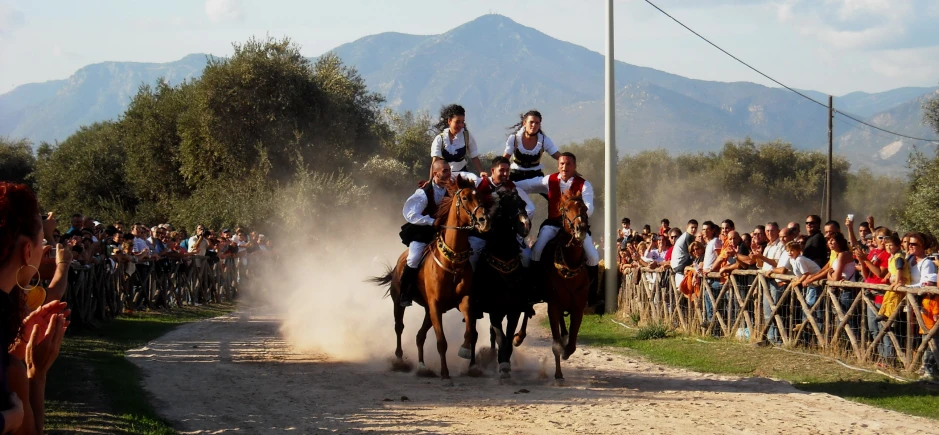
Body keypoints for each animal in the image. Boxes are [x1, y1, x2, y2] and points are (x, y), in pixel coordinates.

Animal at [370, 175, 492, 384]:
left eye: (481, 197)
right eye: (465, 198)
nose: (484, 221)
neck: (452, 262)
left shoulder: (463, 301)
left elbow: (470, 330)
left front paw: (465, 351)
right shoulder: (435, 305)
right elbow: (441, 341)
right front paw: (445, 373)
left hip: (428, 311)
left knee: (419, 336)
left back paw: (422, 366)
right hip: (400, 303)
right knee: (399, 327)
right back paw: (400, 360)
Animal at [474, 191, 532, 382]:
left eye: (522, 203)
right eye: (506, 205)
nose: (525, 225)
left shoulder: (514, 310)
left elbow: (507, 337)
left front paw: (505, 361)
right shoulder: (495, 310)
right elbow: (500, 336)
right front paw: (503, 365)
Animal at [536, 190, 588, 382]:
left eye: (585, 208)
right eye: (566, 209)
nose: (580, 229)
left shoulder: (578, 308)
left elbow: (571, 344)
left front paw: (567, 350)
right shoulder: (553, 306)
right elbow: (556, 344)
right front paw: (558, 373)